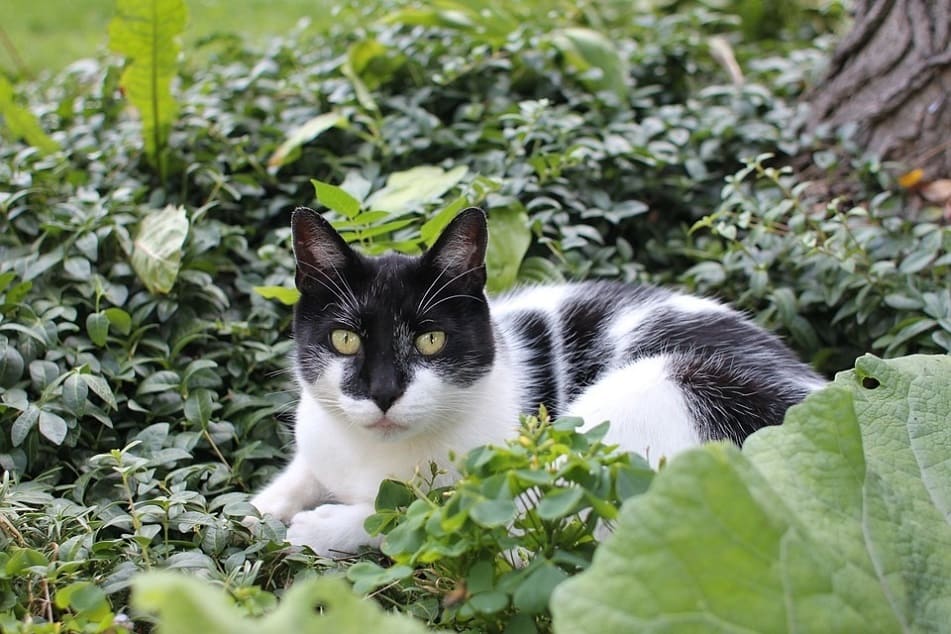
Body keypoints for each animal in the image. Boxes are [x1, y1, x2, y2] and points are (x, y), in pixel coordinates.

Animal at [251, 206, 824, 552]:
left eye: (430, 340)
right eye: (345, 340)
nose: (384, 393)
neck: (368, 455)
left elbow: (425, 512)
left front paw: (323, 525)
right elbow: (295, 477)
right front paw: (253, 513)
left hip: (662, 388)